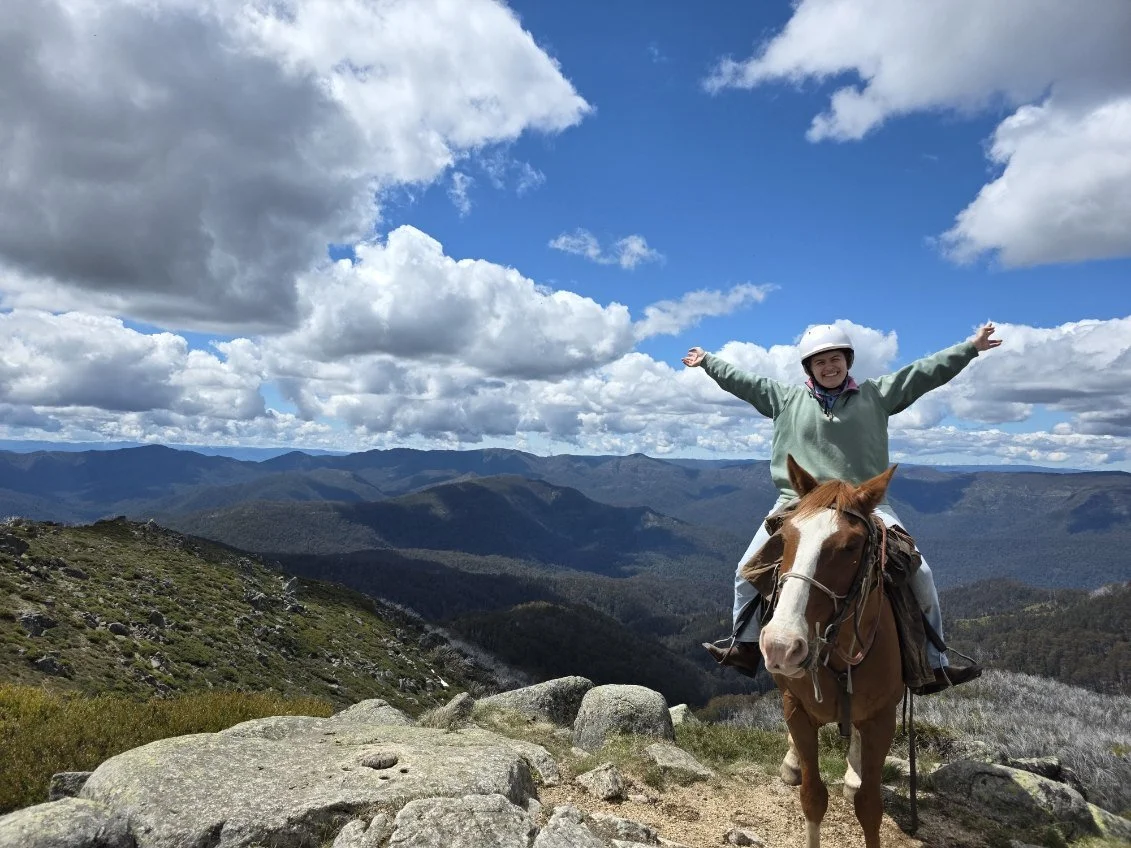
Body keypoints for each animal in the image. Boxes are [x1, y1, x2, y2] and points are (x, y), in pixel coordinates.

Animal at [759, 454, 905, 848]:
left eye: (850, 547)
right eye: (784, 538)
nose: (781, 646)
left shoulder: (882, 718)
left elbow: (870, 806)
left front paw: (858, 782)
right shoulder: (795, 708)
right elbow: (812, 796)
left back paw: (853, 774)